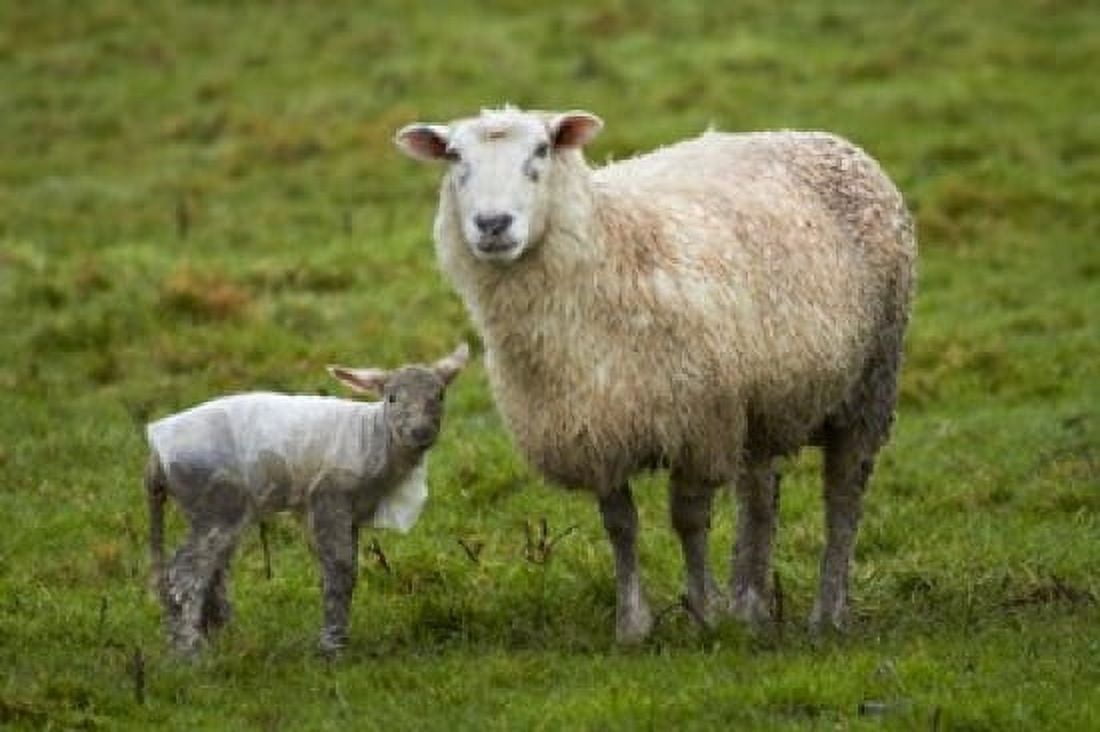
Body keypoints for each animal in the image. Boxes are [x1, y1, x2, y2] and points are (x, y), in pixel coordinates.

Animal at [145, 343, 468, 655]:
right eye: (391, 398)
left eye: (440, 395)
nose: (421, 432)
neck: (375, 436)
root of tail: (156, 458)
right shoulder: (328, 496)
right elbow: (340, 568)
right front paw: (332, 646)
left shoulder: (343, 511)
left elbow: (343, 568)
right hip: (219, 503)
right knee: (185, 572)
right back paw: (190, 651)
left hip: (208, 509)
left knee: (207, 572)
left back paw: (213, 637)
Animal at [395, 107, 916, 642]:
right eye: (454, 156)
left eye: (541, 150)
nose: (493, 224)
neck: (612, 248)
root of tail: (820, 137)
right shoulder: (595, 430)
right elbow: (620, 526)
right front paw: (633, 625)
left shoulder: (699, 427)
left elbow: (688, 521)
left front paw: (703, 614)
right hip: (761, 403)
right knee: (759, 498)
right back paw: (750, 608)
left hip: (870, 384)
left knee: (843, 499)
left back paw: (827, 613)